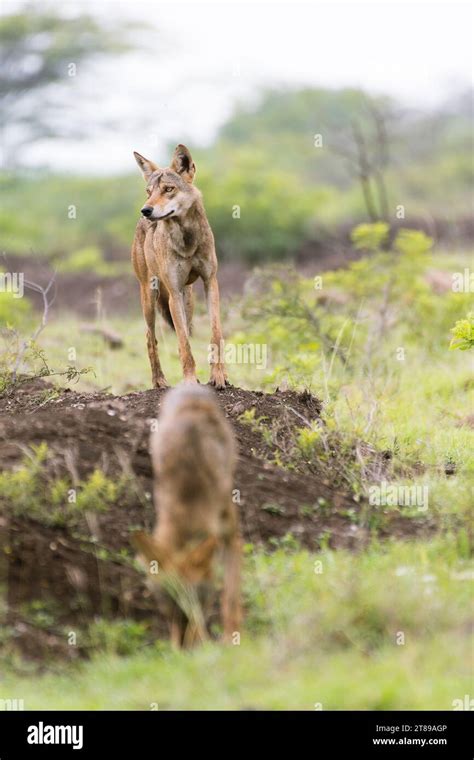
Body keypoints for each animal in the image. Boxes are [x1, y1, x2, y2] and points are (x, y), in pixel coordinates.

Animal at [131, 143, 229, 388]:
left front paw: (219, 376)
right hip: (150, 297)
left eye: (168, 189)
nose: (146, 210)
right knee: (151, 337)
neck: (187, 241)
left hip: (189, 300)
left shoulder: (210, 282)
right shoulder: (173, 292)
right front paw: (190, 381)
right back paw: (159, 381)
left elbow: (216, 334)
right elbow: (184, 344)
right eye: (149, 192)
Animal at [131, 386, 241, 648]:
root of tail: (190, 387)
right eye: (165, 604)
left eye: (198, 600)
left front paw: (230, 639)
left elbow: (231, 597)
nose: (181, 648)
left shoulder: (231, 534)